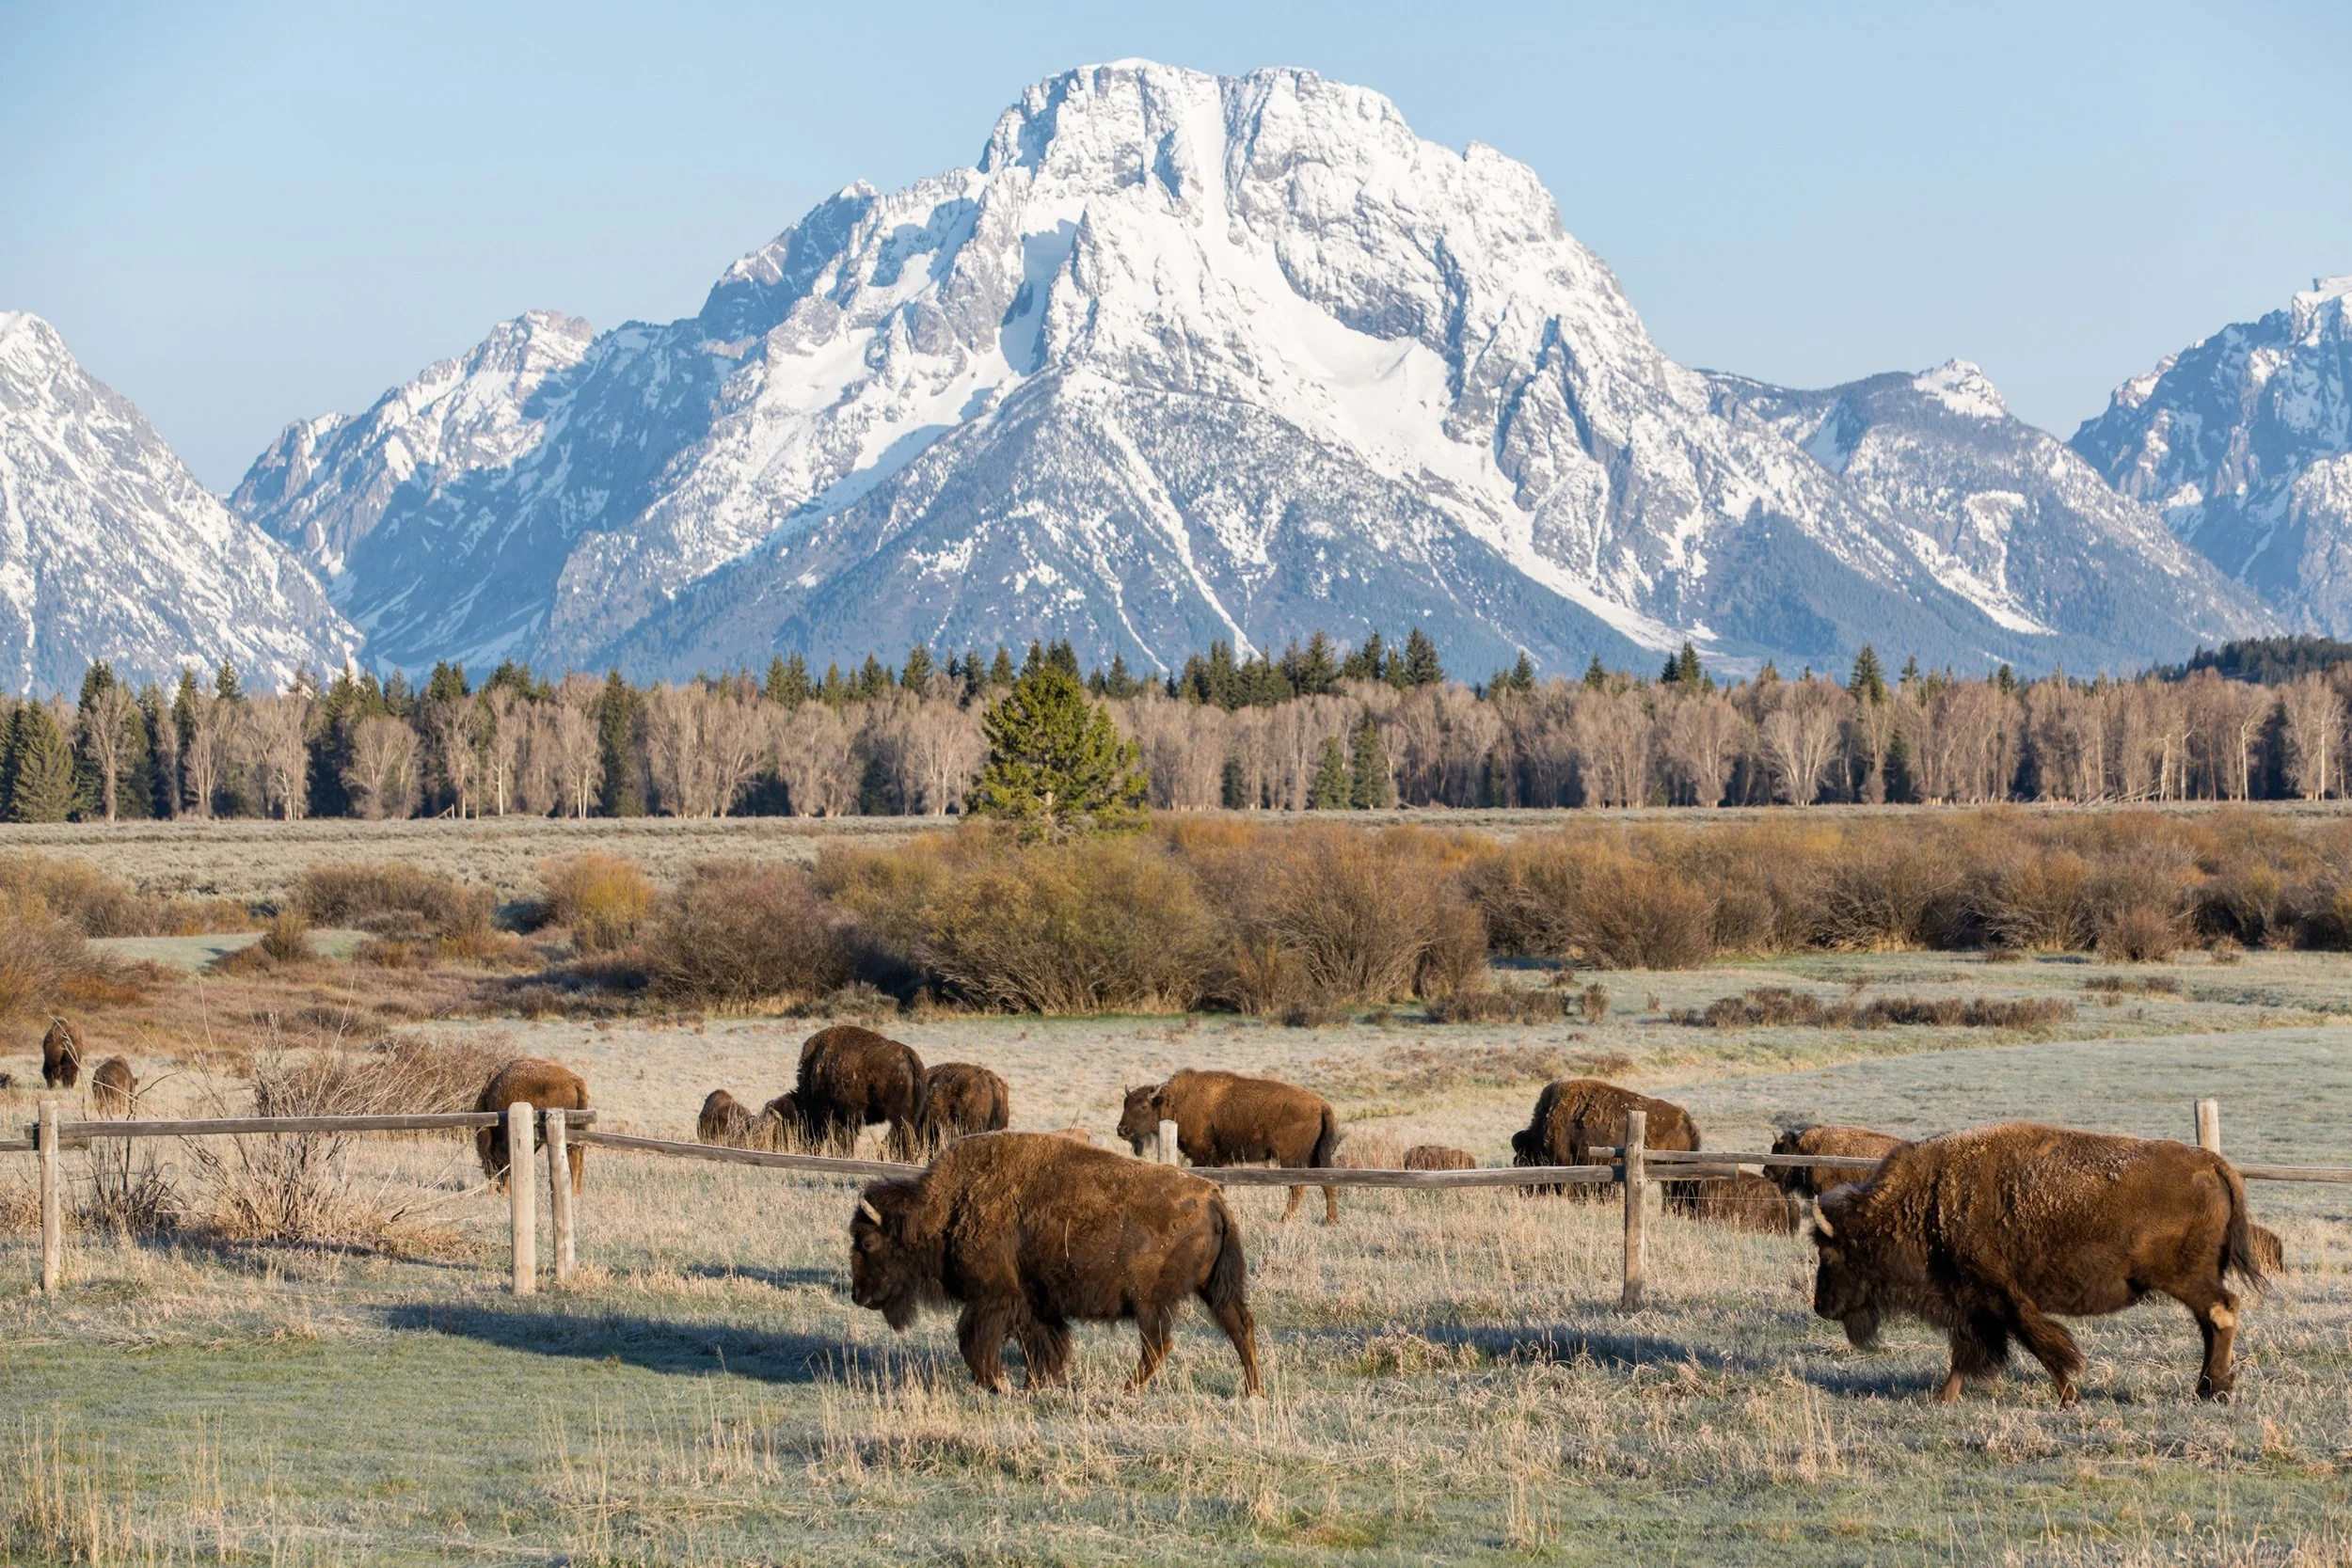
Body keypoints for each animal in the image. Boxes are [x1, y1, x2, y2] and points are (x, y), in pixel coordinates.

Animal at [850, 1131, 1262, 1395]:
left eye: (868, 1241)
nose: (858, 1296)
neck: (947, 1207)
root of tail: (1212, 1196)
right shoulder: (1034, 1303)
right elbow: (1043, 1344)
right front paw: (1033, 1385)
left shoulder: (993, 1297)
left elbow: (974, 1341)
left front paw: (1000, 1384)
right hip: (1214, 1289)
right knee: (1239, 1328)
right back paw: (1252, 1391)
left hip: (1150, 1301)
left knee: (1159, 1343)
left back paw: (1126, 1390)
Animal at [1119, 1069, 1340, 1223]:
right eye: (1125, 1104)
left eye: (1143, 1106)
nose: (1121, 1129)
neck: (1175, 1100)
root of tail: (1321, 1105)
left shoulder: (1204, 1157)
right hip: (1316, 1157)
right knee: (1327, 1184)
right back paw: (1331, 1221)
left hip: (1292, 1159)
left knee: (1298, 1188)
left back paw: (1285, 1220)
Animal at [1810, 1122, 2263, 1404]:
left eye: (1829, 1253)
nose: (1821, 1306)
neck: (1931, 1201)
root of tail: (2210, 1163)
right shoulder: (1974, 1304)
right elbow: (1968, 1351)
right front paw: (1944, 1398)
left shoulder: (1998, 1297)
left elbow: (2040, 1344)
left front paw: (2069, 1397)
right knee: (2211, 1320)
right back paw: (2207, 1387)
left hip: (2184, 1277)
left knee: (2222, 1311)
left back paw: (2215, 1390)